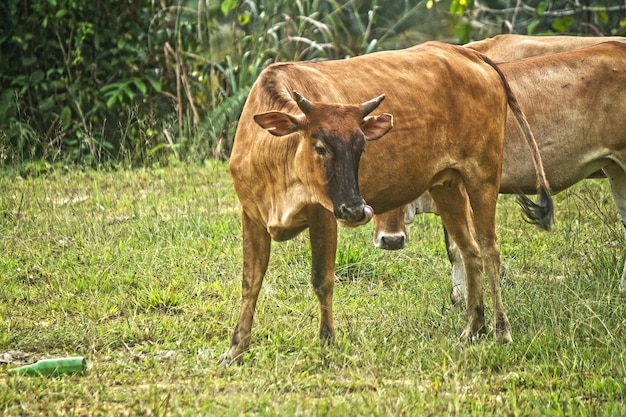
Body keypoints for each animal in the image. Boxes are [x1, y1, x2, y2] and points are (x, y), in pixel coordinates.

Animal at [221, 39, 552, 364]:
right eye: (320, 146)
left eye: (361, 148)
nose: (355, 209)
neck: (275, 158)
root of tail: (466, 53)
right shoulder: (251, 214)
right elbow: (250, 281)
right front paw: (236, 348)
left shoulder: (324, 214)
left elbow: (322, 280)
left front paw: (327, 344)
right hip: (447, 184)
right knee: (470, 251)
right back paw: (473, 328)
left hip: (482, 175)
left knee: (489, 250)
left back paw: (500, 330)